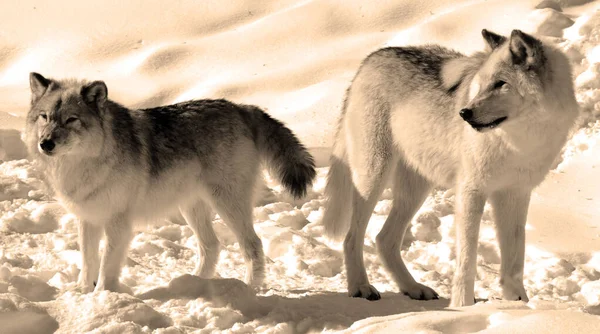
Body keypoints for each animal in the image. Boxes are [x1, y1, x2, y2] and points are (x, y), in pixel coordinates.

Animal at [322, 30, 580, 306]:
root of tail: (371, 59)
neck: (519, 142)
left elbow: (515, 258)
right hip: (374, 177)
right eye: (481, 84)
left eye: (501, 83)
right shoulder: (471, 190)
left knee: (384, 239)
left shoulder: (515, 194)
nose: (464, 113)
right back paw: (361, 287)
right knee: (352, 238)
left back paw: (413, 288)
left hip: (416, 189)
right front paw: (463, 305)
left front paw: (518, 303)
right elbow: (467, 258)